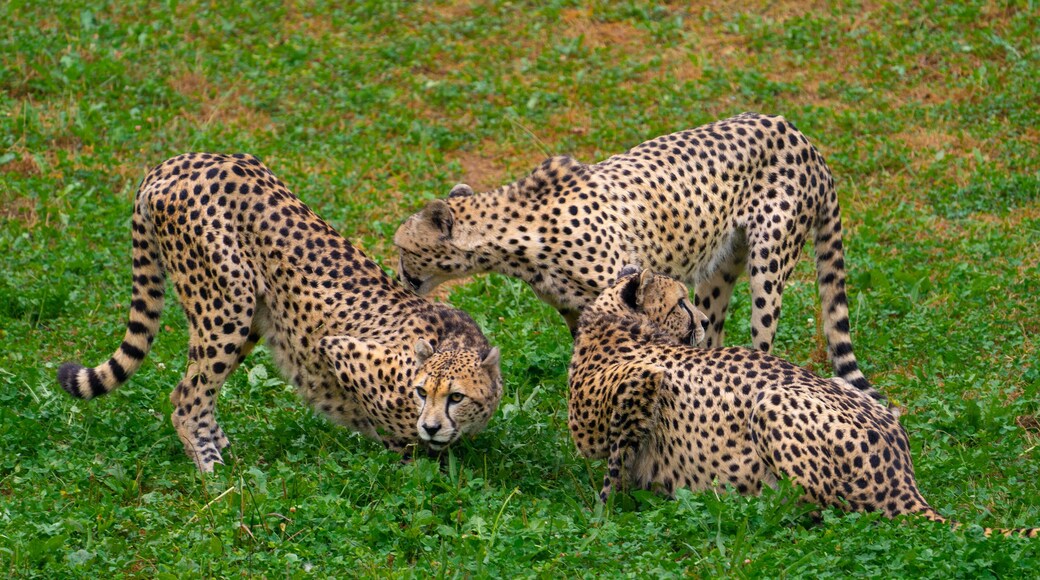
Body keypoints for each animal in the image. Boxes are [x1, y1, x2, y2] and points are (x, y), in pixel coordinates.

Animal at [57, 152, 502, 472]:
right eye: (422, 392)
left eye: (456, 396)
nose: (431, 425)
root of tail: (180, 160)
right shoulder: (341, 350)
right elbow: (392, 432)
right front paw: (411, 455)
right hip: (227, 301)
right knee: (186, 396)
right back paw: (212, 468)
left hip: (251, 313)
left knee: (198, 391)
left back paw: (225, 447)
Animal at [393, 112, 883, 403]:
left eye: (401, 248)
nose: (398, 274)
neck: (517, 237)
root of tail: (797, 133)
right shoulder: (577, 311)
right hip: (719, 268)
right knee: (714, 331)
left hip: (769, 264)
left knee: (758, 337)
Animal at [566, 266, 1038, 537]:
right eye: (681, 302)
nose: (701, 320)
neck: (615, 323)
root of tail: (903, 477)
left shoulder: (630, 393)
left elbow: (616, 455)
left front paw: (603, 513)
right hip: (848, 388)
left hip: (773, 402)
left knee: (828, 509)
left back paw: (742, 507)